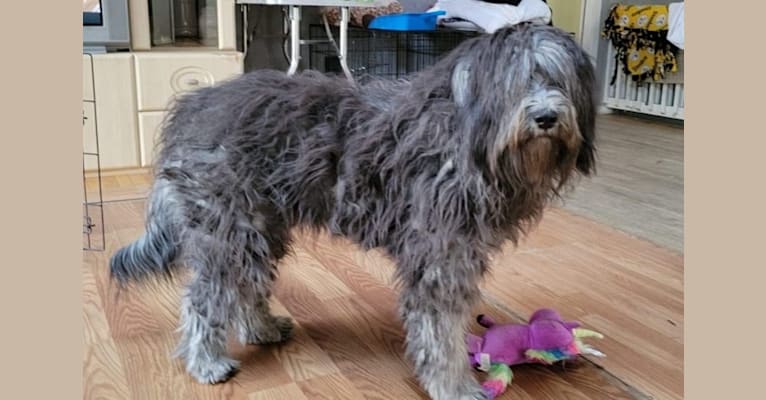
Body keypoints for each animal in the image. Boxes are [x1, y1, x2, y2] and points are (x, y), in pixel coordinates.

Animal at [109, 23, 600, 398]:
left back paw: (260, 327)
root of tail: (192, 108)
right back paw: (207, 362)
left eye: (557, 81)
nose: (546, 117)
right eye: (518, 83)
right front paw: (456, 386)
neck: (467, 139)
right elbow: (441, 335)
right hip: (226, 227)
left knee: (245, 285)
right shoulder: (440, 259)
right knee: (204, 298)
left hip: (259, 227)